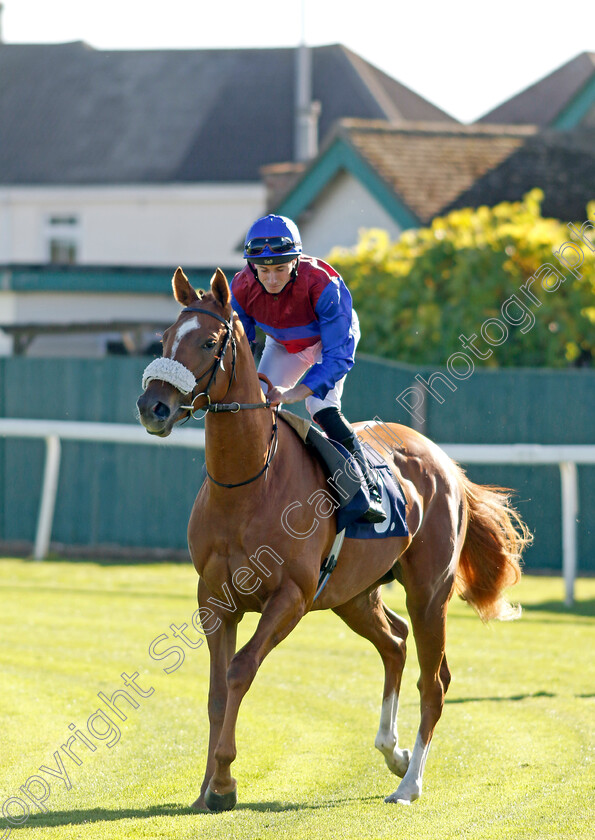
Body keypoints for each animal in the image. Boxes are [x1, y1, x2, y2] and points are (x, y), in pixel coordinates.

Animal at [136, 268, 532, 808]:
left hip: (428, 592)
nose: (152, 406)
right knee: (395, 642)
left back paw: (409, 783)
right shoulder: (214, 598)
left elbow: (240, 670)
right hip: (353, 595)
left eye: (210, 341)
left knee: (434, 680)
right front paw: (205, 790)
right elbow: (217, 691)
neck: (248, 484)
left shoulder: (291, 597)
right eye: (165, 339)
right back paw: (392, 751)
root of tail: (446, 463)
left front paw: (223, 780)